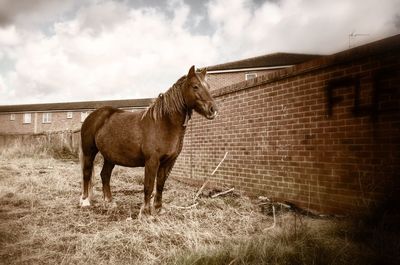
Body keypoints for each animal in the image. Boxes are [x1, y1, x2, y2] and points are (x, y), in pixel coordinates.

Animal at [79, 65, 217, 214]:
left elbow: (160, 185)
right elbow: (148, 186)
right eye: (195, 86)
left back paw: (110, 202)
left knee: (105, 175)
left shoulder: (168, 162)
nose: (213, 109)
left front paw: (158, 209)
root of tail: (93, 116)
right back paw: (85, 201)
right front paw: (145, 212)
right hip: (89, 152)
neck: (164, 123)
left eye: (208, 86)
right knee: (86, 173)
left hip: (110, 157)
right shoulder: (152, 161)